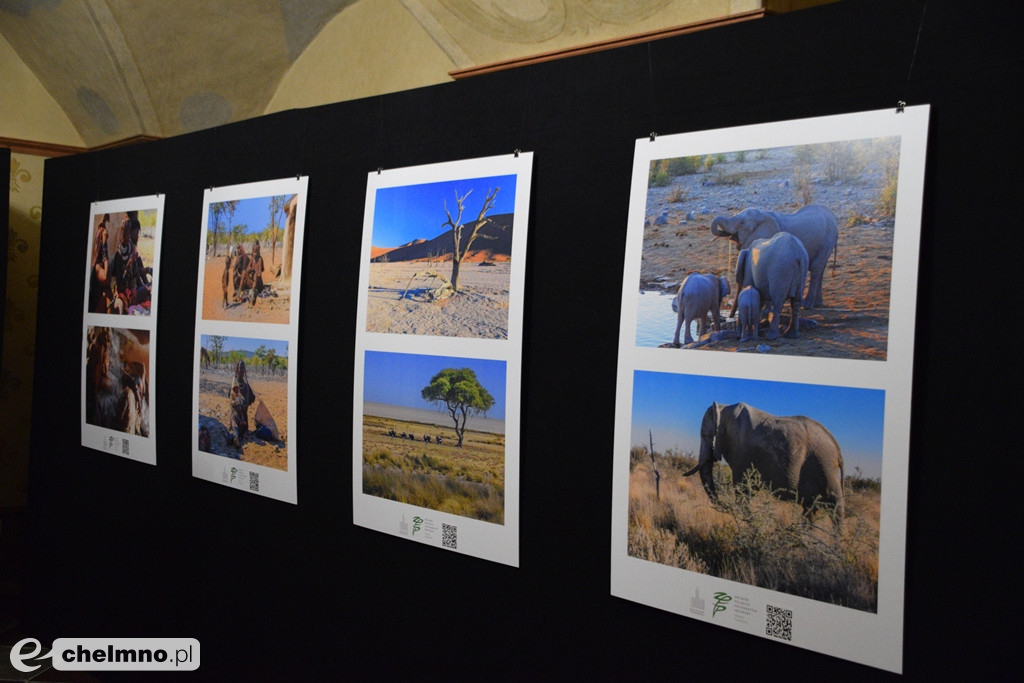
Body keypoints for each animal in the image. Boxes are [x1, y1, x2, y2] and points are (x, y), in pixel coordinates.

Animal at [684, 403, 843, 520]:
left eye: (705, 435)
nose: (723, 505)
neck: (724, 407)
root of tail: (837, 448)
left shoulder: (742, 450)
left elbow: (742, 489)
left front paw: (747, 521)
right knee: (810, 510)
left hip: (826, 467)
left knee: (836, 510)